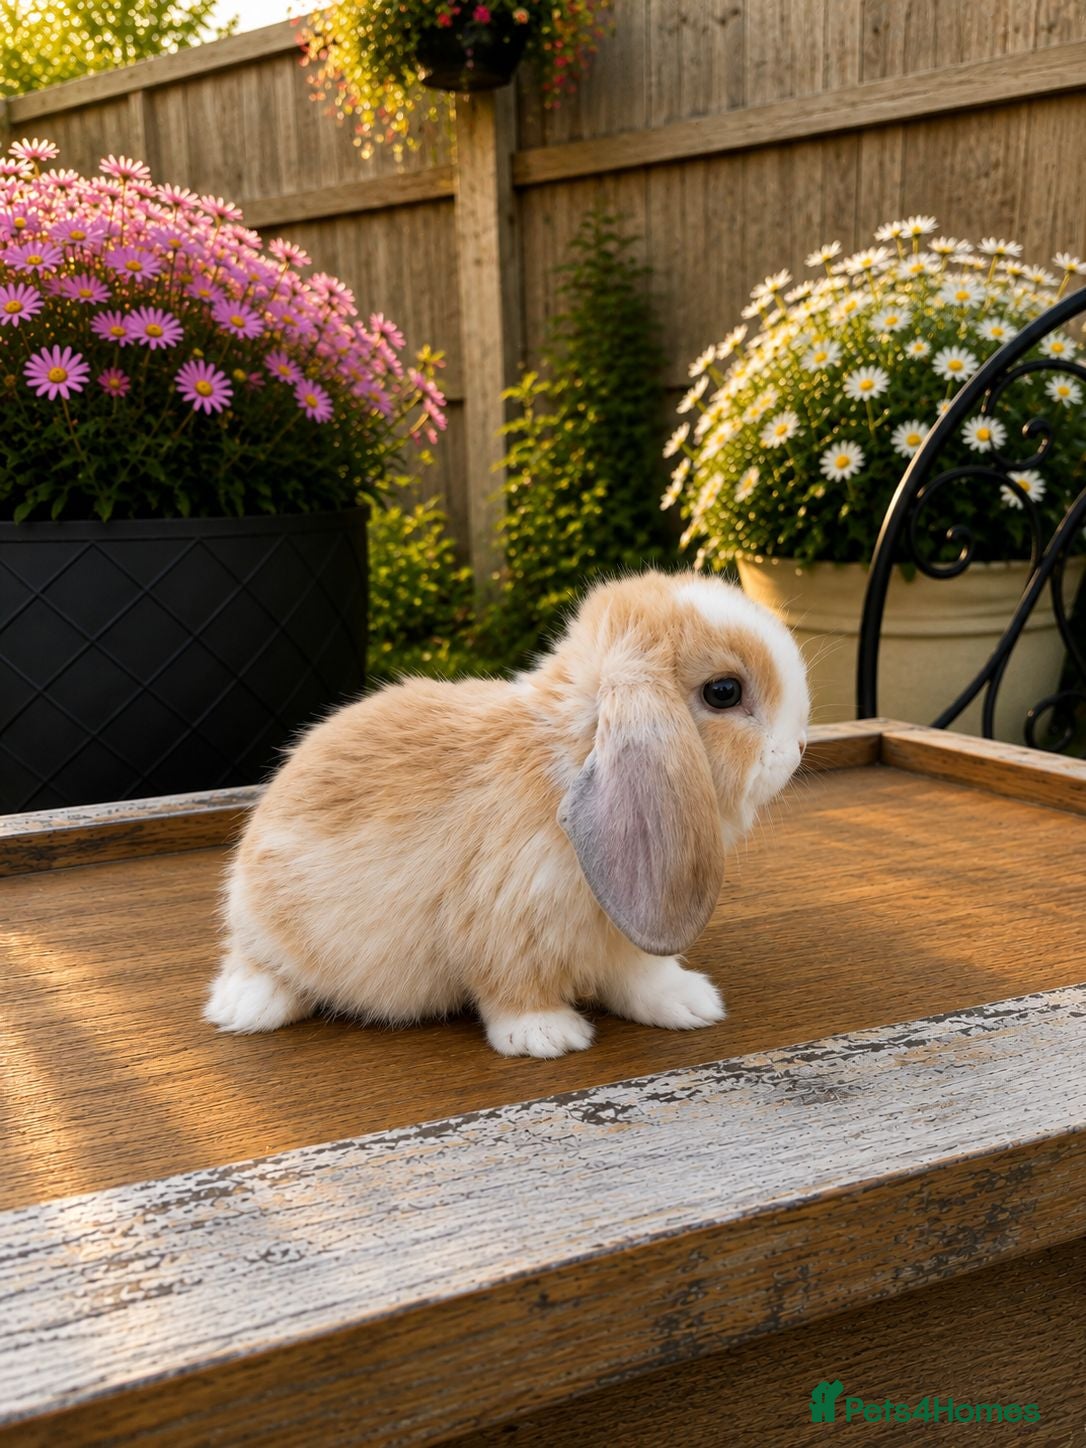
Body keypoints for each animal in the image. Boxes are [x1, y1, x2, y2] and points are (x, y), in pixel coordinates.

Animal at [205, 569, 809, 1057]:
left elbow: (642, 979)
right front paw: (546, 1036)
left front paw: (691, 1004)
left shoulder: (623, 937)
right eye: (724, 691)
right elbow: (514, 988)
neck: (569, 759)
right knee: (253, 961)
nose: (799, 746)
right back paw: (246, 1007)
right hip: (264, 924)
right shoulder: (506, 931)